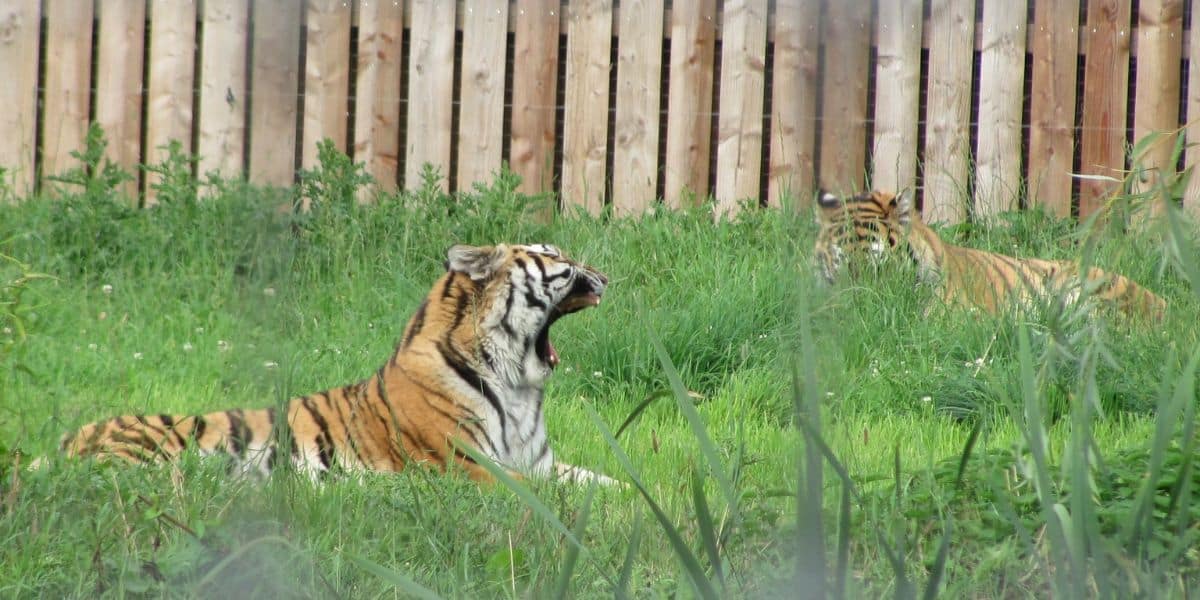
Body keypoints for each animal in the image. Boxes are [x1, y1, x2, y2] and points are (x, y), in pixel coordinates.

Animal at [58, 243, 620, 486]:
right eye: (557, 256)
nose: (607, 275)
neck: (518, 384)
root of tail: (65, 442)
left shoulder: (543, 462)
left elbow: (607, 484)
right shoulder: (467, 465)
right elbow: (544, 497)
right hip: (158, 453)